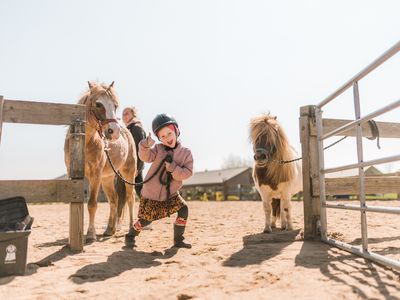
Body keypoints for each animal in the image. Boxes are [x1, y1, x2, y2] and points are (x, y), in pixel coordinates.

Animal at [64, 81, 136, 241]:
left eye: (115, 105)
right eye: (98, 104)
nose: (113, 132)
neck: (84, 142)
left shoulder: (95, 176)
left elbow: (92, 204)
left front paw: (91, 234)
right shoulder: (73, 175)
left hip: (128, 173)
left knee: (130, 198)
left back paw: (131, 228)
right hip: (107, 179)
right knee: (114, 200)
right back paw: (110, 229)